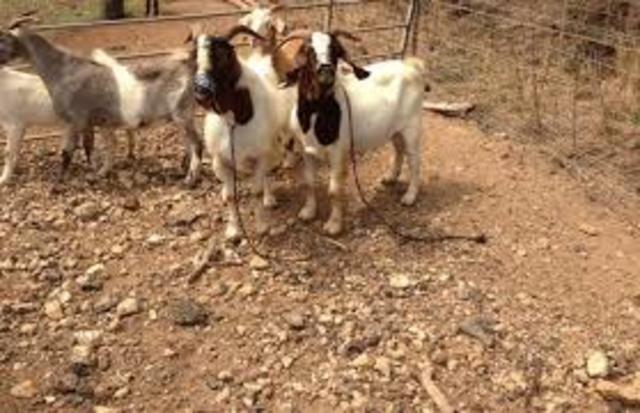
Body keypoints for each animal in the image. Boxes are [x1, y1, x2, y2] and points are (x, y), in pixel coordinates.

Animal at [0, 17, 202, 185]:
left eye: (3, 39)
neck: (63, 71)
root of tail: (189, 64)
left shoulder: (76, 119)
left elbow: (68, 152)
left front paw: (59, 182)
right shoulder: (88, 122)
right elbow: (90, 147)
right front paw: (97, 173)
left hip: (182, 112)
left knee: (197, 144)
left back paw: (190, 180)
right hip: (181, 116)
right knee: (189, 144)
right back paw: (182, 170)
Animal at [192, 25, 290, 241]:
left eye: (222, 55)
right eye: (194, 58)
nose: (201, 93)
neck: (234, 120)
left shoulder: (260, 155)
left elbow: (256, 191)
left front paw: (262, 226)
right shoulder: (221, 160)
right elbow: (231, 196)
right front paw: (233, 230)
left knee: (268, 171)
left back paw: (269, 198)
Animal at [279, 30, 426, 235]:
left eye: (335, 50)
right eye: (308, 51)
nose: (326, 71)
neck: (316, 115)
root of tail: (412, 65)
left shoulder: (338, 152)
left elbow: (334, 190)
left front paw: (333, 225)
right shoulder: (306, 150)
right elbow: (308, 182)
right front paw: (308, 212)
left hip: (412, 125)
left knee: (414, 160)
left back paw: (410, 196)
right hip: (394, 128)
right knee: (399, 149)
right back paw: (390, 177)